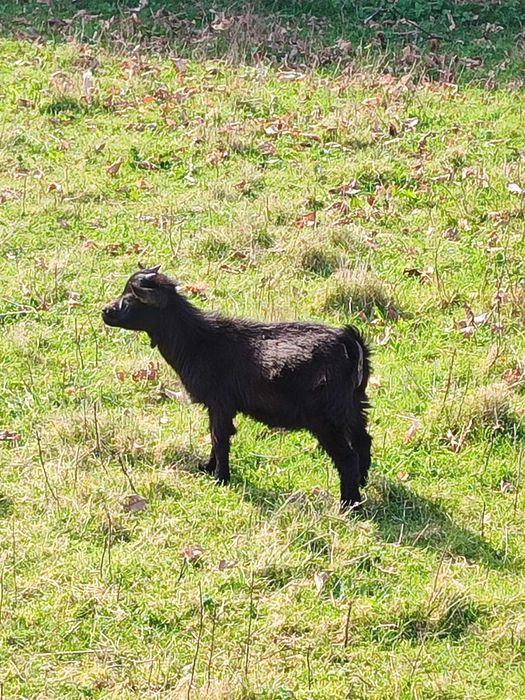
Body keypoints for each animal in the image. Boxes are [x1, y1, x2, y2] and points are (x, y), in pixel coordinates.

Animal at [102, 266, 372, 508]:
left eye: (130, 299)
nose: (105, 311)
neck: (197, 341)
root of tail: (348, 342)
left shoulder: (220, 402)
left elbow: (219, 437)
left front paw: (220, 478)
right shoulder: (217, 406)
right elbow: (214, 436)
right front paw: (208, 468)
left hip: (325, 416)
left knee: (347, 457)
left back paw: (348, 504)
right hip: (354, 405)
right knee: (363, 441)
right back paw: (362, 484)